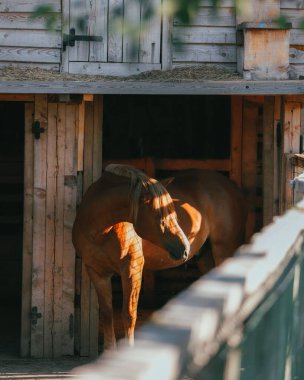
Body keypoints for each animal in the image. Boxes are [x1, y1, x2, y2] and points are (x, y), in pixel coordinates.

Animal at [73, 165, 247, 352]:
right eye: (160, 216)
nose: (184, 249)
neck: (102, 230)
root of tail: (231, 187)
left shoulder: (131, 268)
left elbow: (129, 314)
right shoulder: (96, 272)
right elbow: (106, 313)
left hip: (225, 250)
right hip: (205, 258)